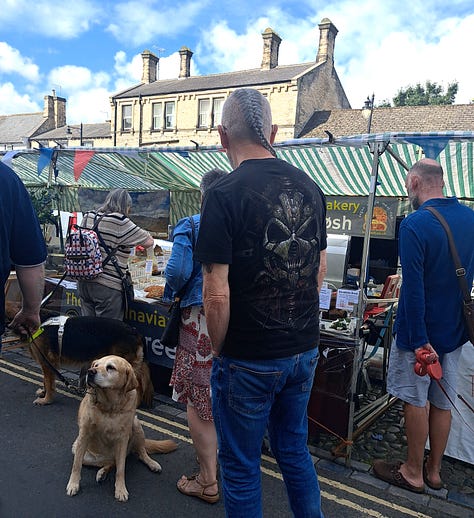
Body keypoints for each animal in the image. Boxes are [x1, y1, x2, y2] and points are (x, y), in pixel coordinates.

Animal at [66, 358, 178, 504]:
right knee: (108, 462)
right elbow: (76, 464)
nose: (90, 372)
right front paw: (73, 484)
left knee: (138, 454)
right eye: (96, 365)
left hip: (136, 425)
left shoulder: (122, 439)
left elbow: (121, 469)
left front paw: (120, 489)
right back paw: (102, 473)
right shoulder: (84, 435)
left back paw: (151, 463)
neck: (109, 406)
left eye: (110, 367)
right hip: (79, 449)